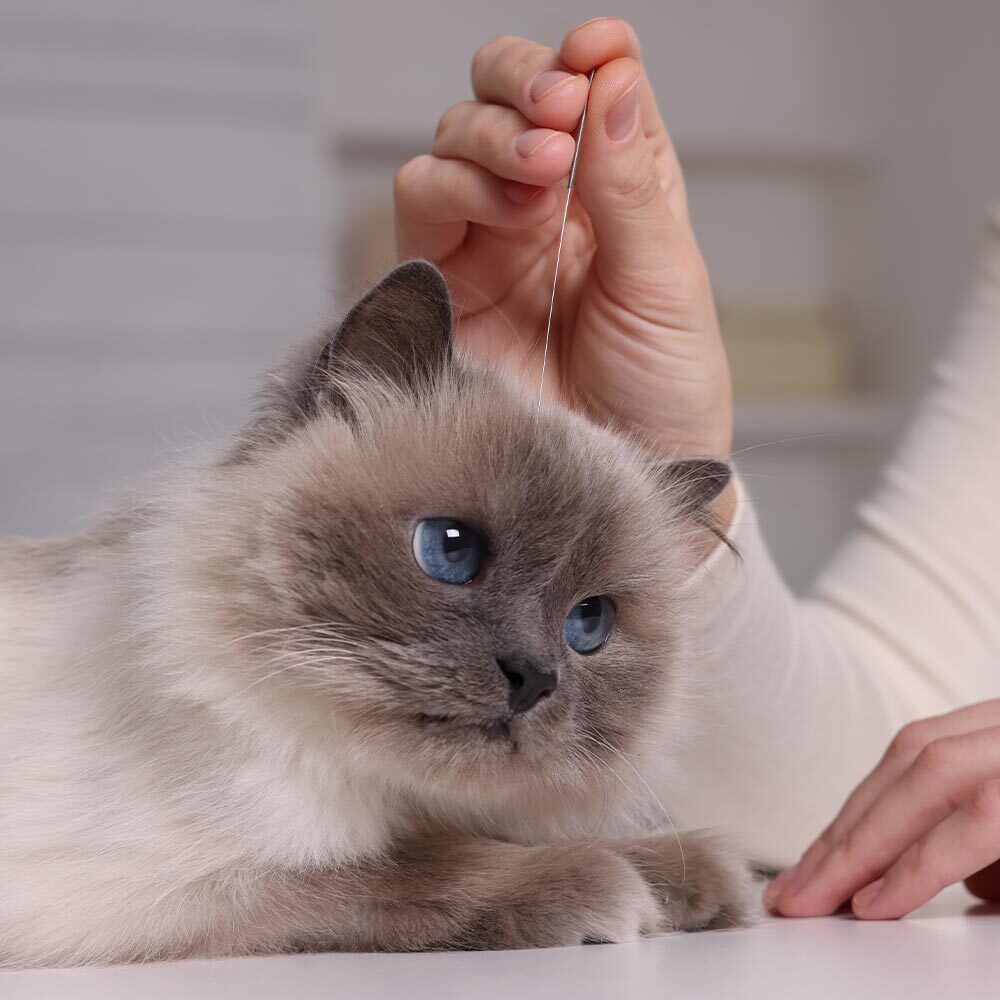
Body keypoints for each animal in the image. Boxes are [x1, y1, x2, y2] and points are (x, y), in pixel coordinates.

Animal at [0, 262, 752, 964]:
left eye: (589, 624)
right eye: (449, 549)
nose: (533, 677)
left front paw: (702, 881)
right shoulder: (147, 887)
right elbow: (404, 868)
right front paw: (615, 887)